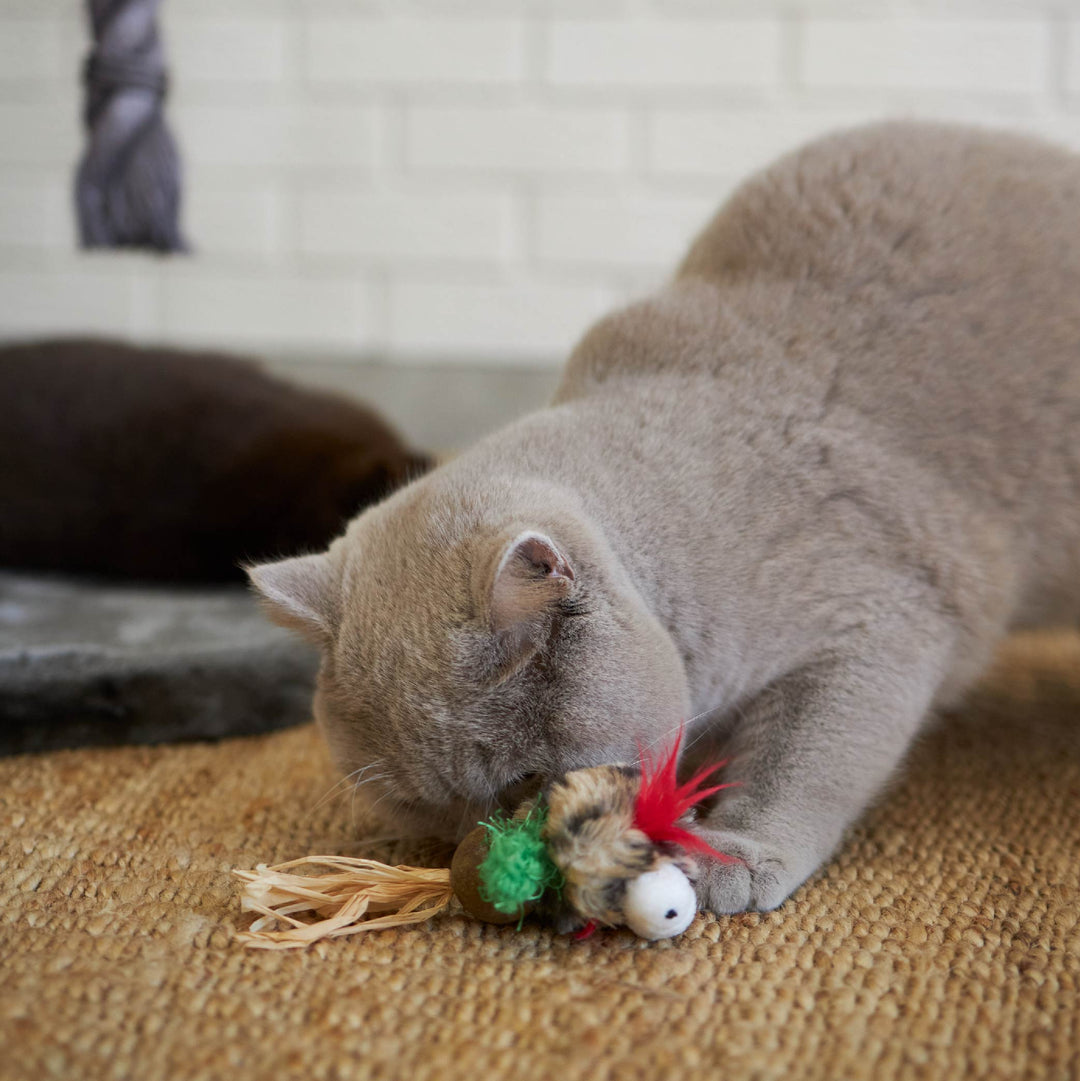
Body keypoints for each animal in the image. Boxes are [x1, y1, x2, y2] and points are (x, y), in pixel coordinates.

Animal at [247, 124, 1080, 921]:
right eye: (423, 804)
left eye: (525, 782)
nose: (476, 855)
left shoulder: (878, 617)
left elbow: (803, 756)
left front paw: (738, 850)